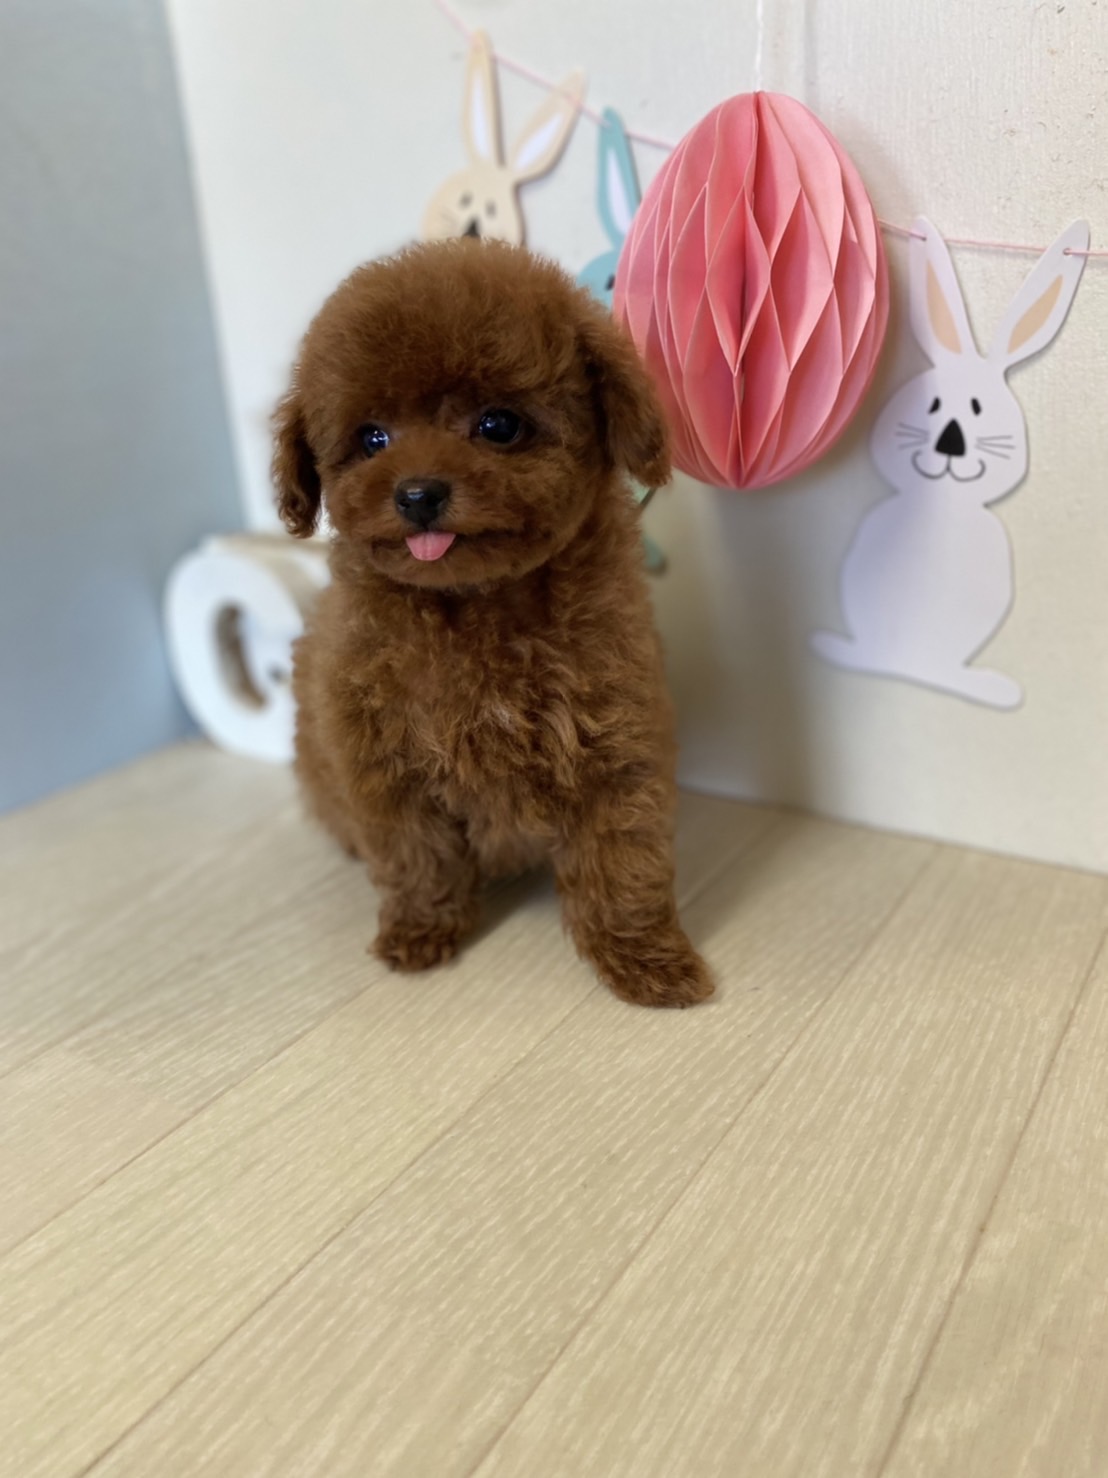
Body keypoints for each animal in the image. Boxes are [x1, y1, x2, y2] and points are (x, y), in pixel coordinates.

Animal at [272, 239, 713, 1007]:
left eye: (498, 425)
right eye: (372, 438)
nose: (417, 495)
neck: (476, 603)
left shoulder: (615, 740)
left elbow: (623, 862)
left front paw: (646, 959)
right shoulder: (386, 762)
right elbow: (416, 856)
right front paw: (419, 932)